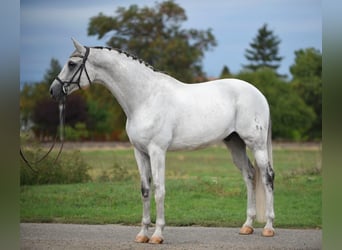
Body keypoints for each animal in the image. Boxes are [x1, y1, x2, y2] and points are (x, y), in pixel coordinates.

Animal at [50, 39, 276, 244]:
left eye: (72, 64)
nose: (53, 91)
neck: (145, 98)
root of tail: (260, 94)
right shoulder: (139, 152)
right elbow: (145, 190)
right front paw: (142, 234)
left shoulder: (157, 151)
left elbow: (159, 189)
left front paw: (158, 234)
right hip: (235, 143)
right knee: (249, 175)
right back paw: (247, 226)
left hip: (256, 144)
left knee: (267, 177)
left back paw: (268, 227)